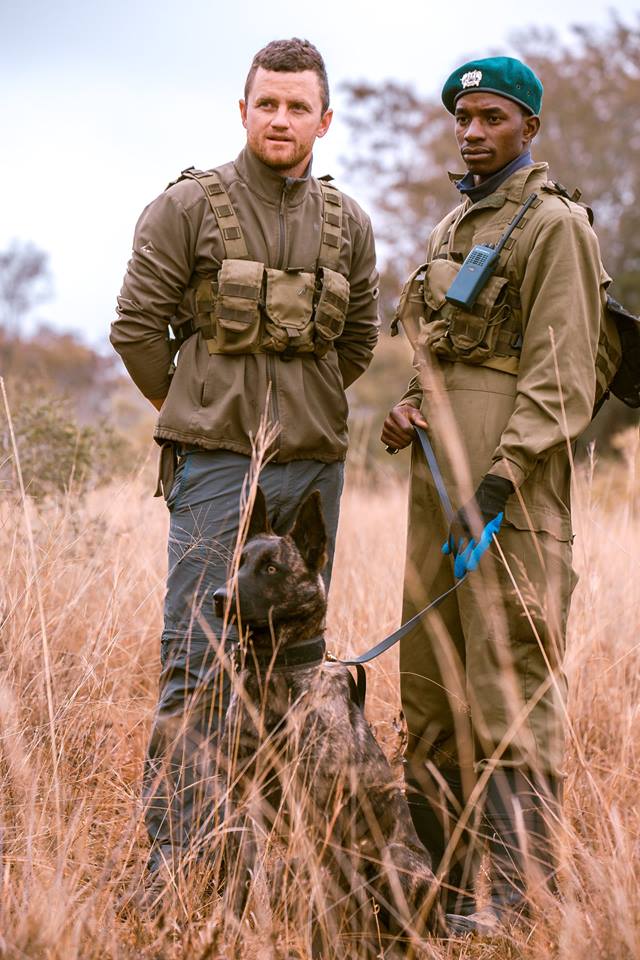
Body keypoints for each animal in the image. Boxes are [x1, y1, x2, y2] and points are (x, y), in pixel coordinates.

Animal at [214, 487, 437, 957]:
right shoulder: (240, 801)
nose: (219, 598)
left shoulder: (319, 820)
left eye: (272, 568)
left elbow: (322, 911)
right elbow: (239, 885)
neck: (275, 671)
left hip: (393, 862)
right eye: (238, 562)